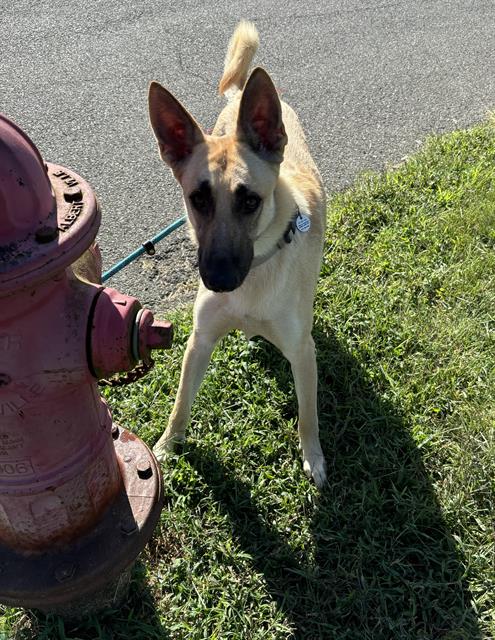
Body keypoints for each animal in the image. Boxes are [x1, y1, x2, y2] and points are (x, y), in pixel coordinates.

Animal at [149, 22, 328, 488]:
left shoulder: (302, 351)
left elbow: (308, 415)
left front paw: (314, 457)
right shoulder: (200, 340)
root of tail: (241, 97)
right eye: (197, 199)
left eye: (249, 201)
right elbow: (180, 404)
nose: (218, 280)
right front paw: (165, 448)